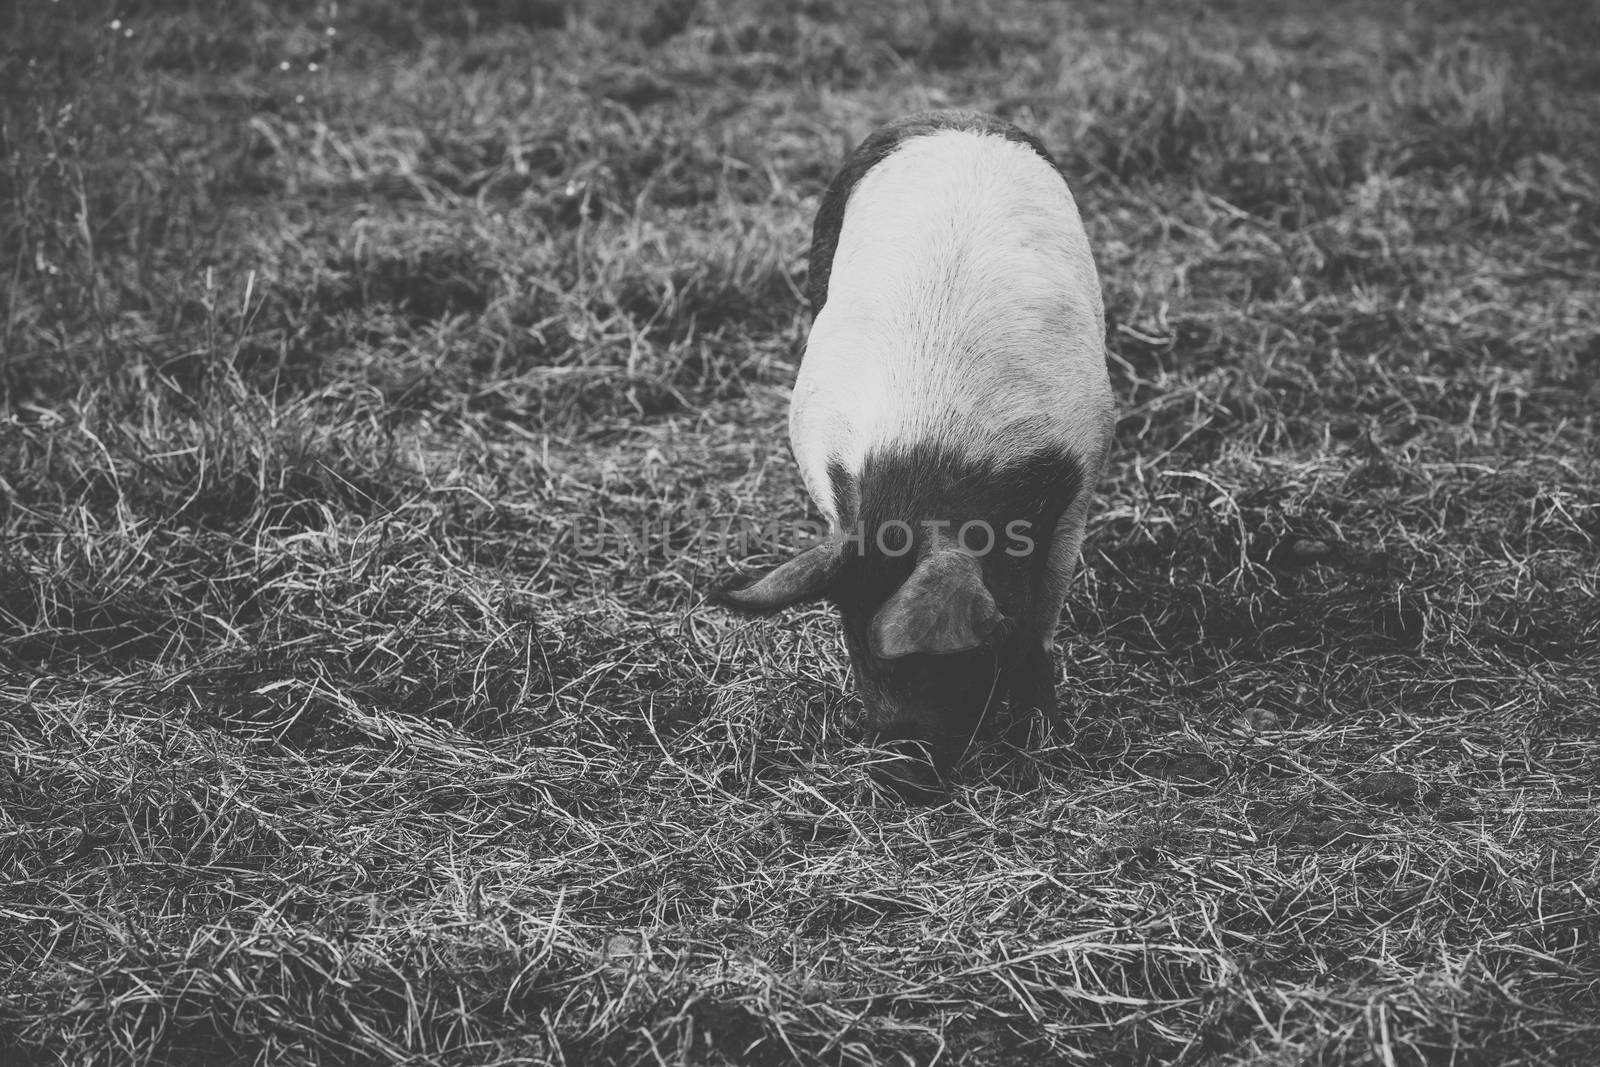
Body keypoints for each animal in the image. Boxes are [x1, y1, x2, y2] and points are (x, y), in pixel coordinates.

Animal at [713, 110, 1113, 799]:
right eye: (851, 640)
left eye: (948, 660)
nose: (900, 776)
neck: (932, 461)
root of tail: (957, 119)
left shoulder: (1078, 480)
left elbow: (1040, 622)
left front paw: (1049, 739)